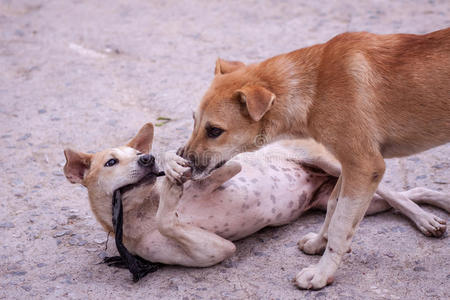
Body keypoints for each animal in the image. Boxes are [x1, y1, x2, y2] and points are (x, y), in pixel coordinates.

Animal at [62, 123, 446, 268]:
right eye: (111, 162)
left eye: (139, 153)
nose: (148, 159)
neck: (141, 210)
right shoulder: (213, 250)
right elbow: (170, 221)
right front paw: (172, 187)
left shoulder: (222, 176)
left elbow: (213, 173)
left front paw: (173, 172)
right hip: (351, 200)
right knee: (412, 191)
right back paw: (435, 207)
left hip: (340, 168)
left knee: (399, 194)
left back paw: (428, 218)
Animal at [179, 28, 450, 288]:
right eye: (194, 120)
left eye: (215, 131)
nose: (181, 159)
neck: (315, 87)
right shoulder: (348, 167)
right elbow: (333, 206)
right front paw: (320, 242)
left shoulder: (364, 166)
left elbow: (341, 225)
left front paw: (322, 274)